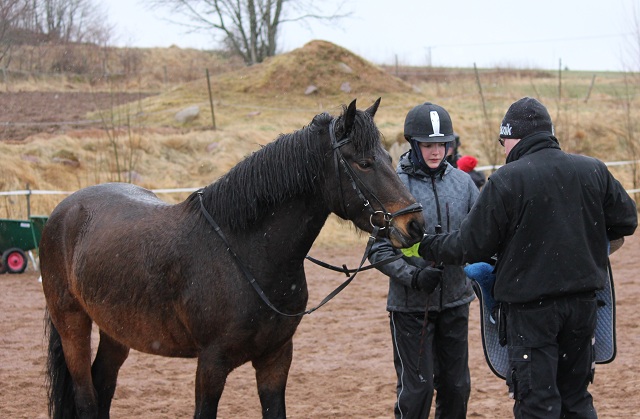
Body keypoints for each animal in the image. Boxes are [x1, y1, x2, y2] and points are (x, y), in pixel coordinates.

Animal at [42, 97, 428, 416]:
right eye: (363, 163)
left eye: (390, 159)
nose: (415, 224)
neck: (245, 252)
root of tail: (63, 210)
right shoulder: (211, 364)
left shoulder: (275, 359)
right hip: (73, 325)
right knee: (86, 396)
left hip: (116, 331)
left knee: (103, 384)